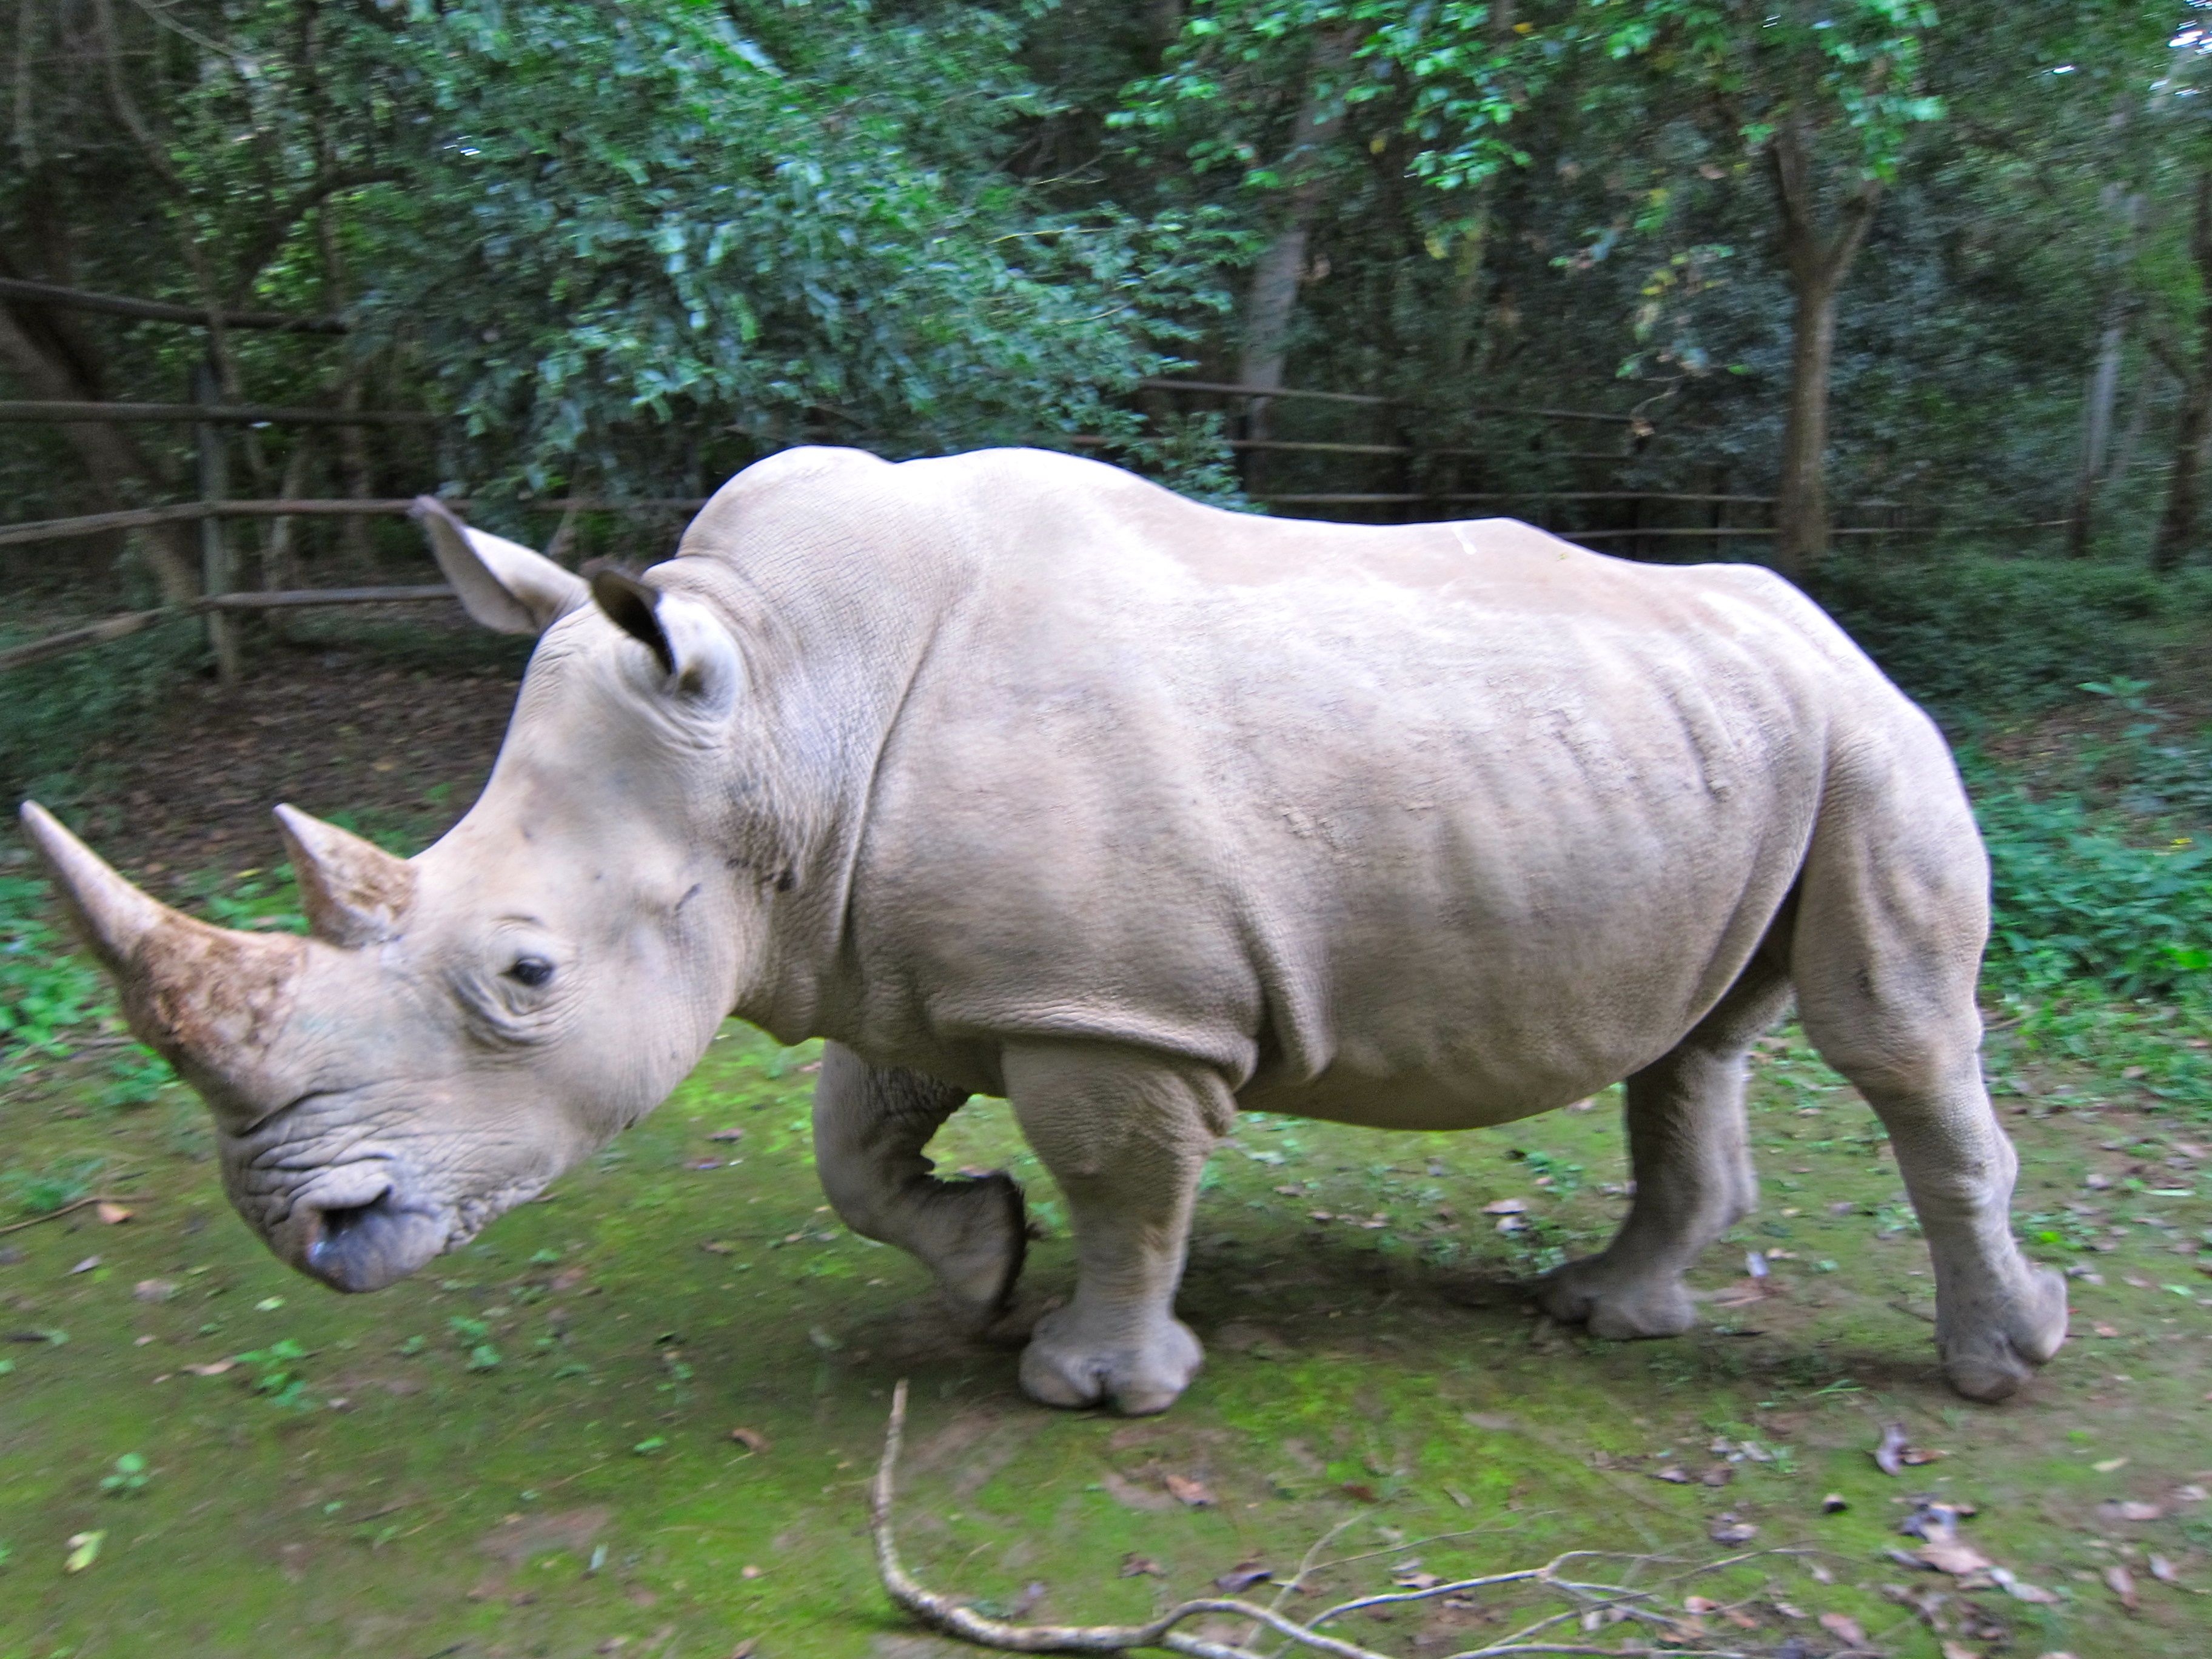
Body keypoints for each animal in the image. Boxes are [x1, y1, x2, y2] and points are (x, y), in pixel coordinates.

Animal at [17, 444, 2061, 1415]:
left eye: (525, 977)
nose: (301, 1230)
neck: (779, 704)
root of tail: (1834, 629)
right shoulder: (903, 954)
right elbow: (856, 1153)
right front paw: (984, 1262)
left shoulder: (1114, 1005)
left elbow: (1127, 1184)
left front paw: (1092, 1382)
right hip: (1734, 741)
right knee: (1693, 1038)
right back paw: (1604, 1313)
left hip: (1875, 741)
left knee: (1891, 1037)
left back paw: (1993, 1366)